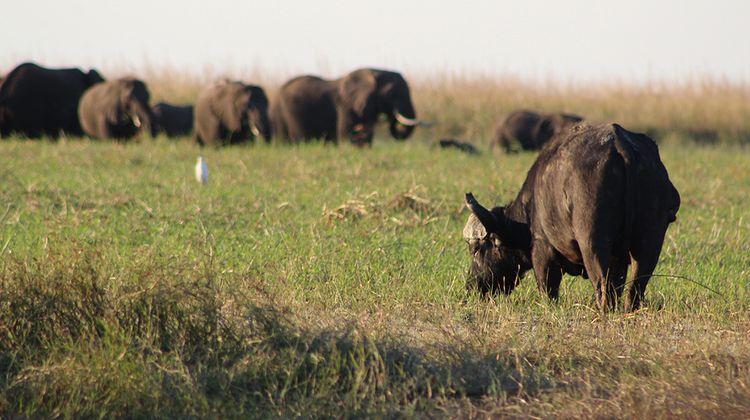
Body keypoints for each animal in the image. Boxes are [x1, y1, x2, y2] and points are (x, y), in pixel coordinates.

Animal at [464, 122, 680, 312]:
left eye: (475, 249)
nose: (471, 286)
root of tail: (621, 145)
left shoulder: (542, 249)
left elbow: (547, 288)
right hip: (650, 240)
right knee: (636, 286)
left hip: (592, 241)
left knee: (602, 284)